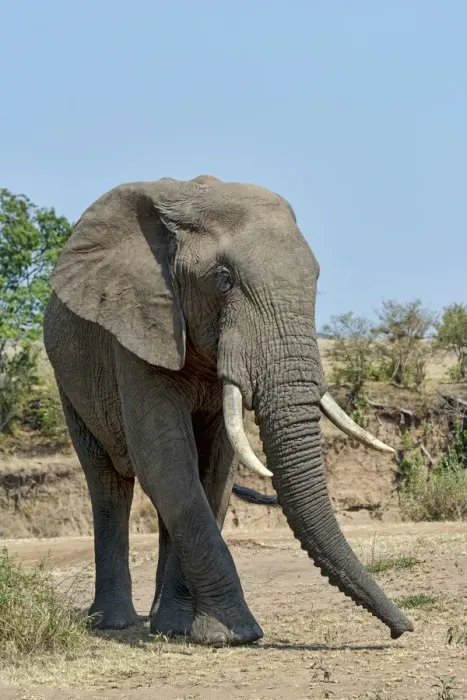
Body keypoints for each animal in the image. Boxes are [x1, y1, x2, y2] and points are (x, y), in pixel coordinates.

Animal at [43, 174, 414, 646]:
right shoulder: (140, 327)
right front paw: (236, 633)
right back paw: (113, 623)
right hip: (68, 379)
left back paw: (163, 624)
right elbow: (165, 458)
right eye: (223, 280)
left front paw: (191, 630)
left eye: (315, 278)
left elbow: (215, 467)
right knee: (108, 480)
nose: (402, 630)